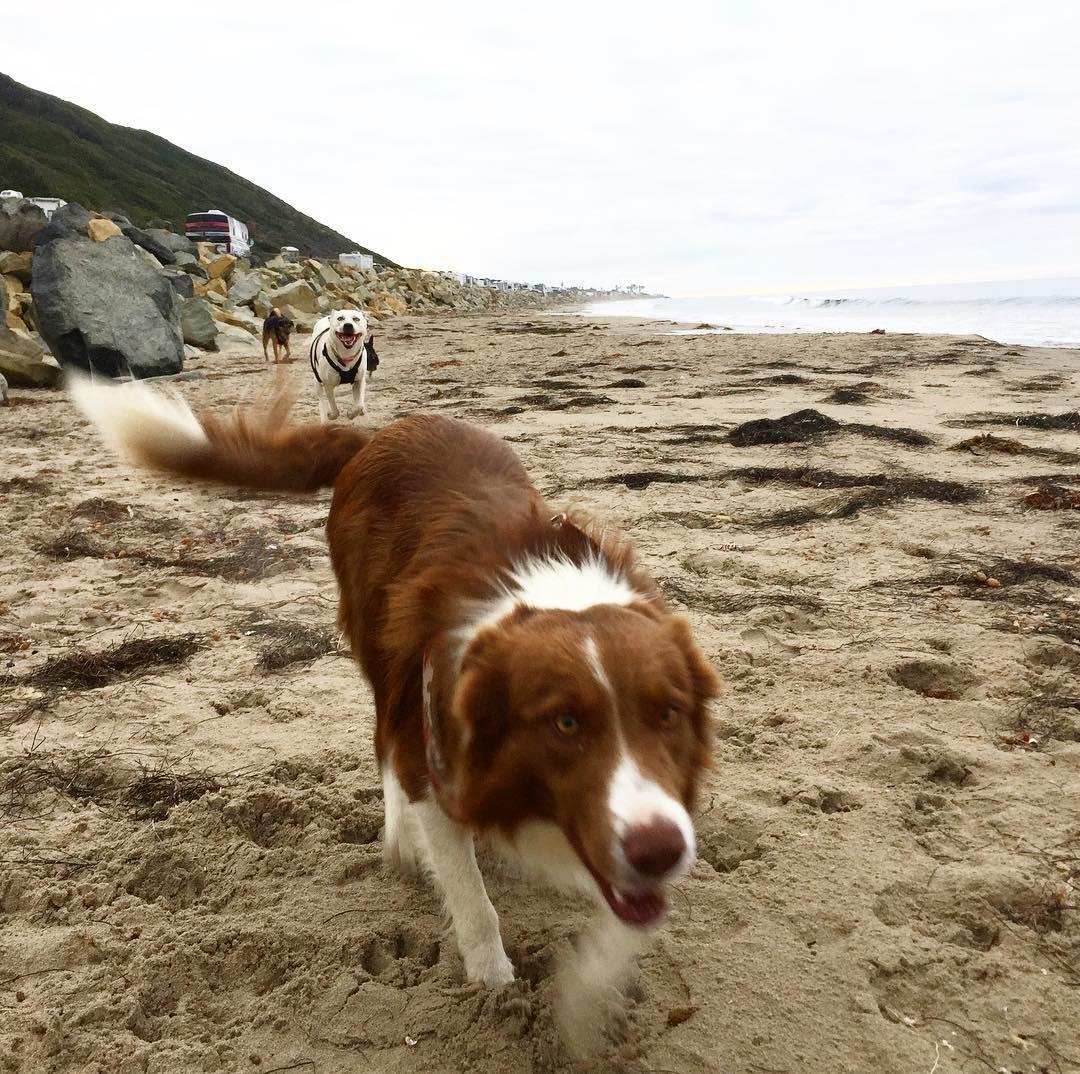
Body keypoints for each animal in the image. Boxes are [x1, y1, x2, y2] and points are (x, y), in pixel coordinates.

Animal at [71, 380, 721, 1041]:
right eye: (565, 723)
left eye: (667, 714)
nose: (661, 851)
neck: (547, 596)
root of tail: (378, 434)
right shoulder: (432, 746)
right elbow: (472, 898)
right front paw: (496, 987)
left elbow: (622, 926)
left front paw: (584, 1006)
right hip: (380, 645)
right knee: (382, 737)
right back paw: (401, 835)